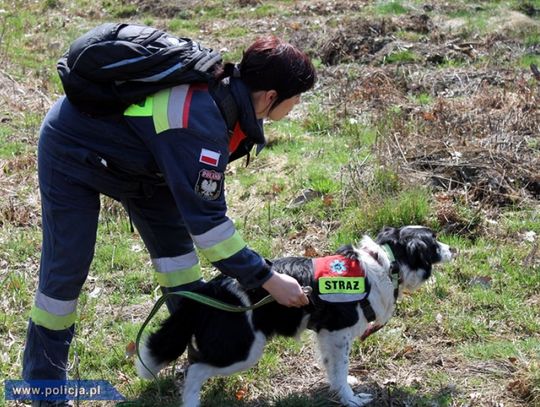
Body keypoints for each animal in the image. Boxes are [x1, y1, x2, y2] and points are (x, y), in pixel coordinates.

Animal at [137, 228, 454, 406]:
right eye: (434, 242)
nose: (454, 248)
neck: (386, 263)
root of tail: (211, 290)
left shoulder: (327, 336)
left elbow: (334, 370)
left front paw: (343, 388)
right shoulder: (338, 334)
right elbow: (340, 368)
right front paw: (351, 400)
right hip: (244, 350)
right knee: (194, 370)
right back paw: (192, 401)